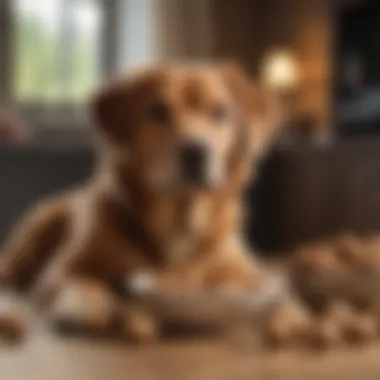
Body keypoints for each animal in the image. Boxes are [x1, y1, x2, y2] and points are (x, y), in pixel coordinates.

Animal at [0, 63, 280, 342]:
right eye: (158, 111)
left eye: (220, 112)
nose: (196, 152)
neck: (178, 219)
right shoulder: (58, 270)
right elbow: (83, 282)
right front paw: (86, 306)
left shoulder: (238, 267)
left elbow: (256, 289)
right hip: (36, 232)